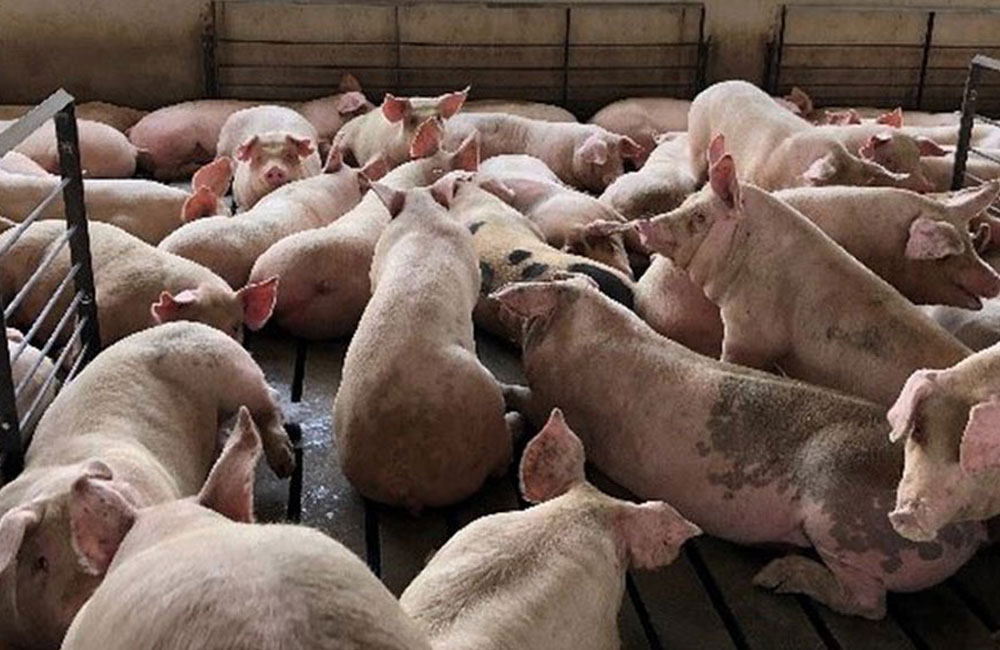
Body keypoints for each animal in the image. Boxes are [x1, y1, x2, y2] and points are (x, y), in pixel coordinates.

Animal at [492, 275, 984, 619]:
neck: (589, 327)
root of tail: (973, 523)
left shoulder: (552, 400)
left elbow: (522, 397)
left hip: (843, 524)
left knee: (869, 604)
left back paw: (774, 577)